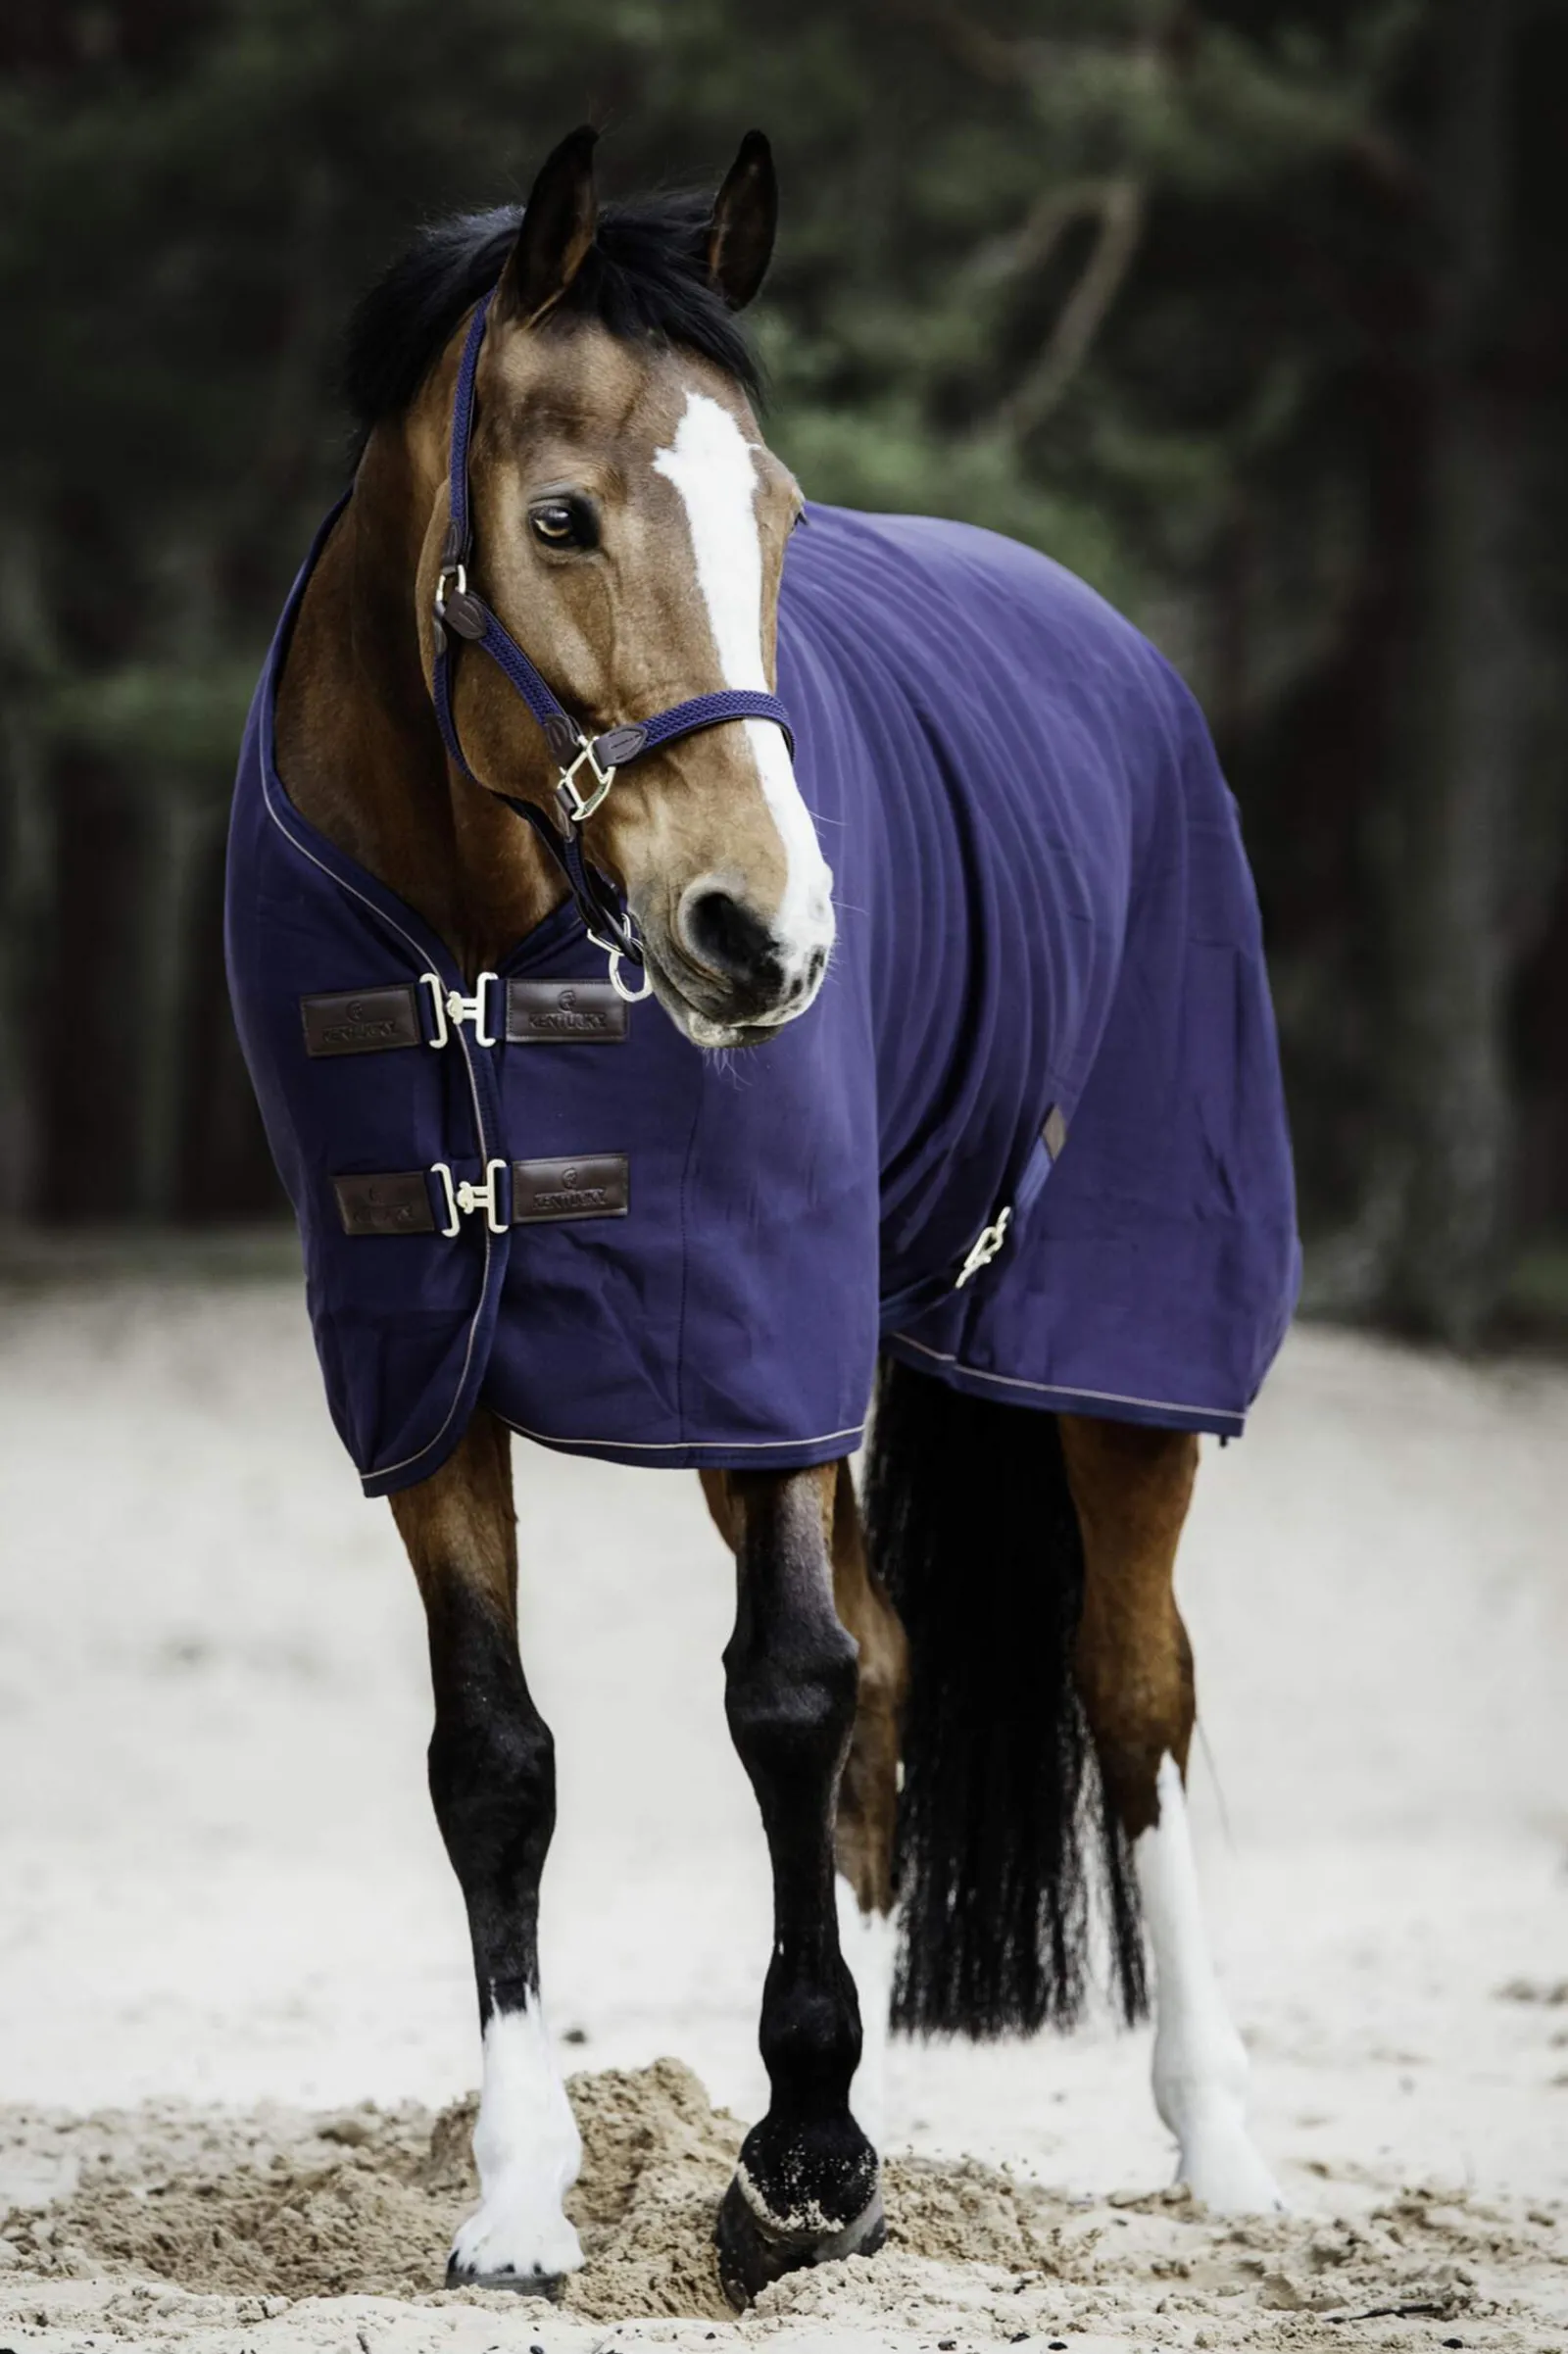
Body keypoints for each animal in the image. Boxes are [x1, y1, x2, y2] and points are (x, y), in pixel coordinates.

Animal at [226, 125, 1299, 2304]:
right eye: (560, 515)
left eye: (783, 517)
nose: (766, 934)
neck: (475, 944)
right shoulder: (420, 1371)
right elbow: (498, 1757)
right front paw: (526, 2195)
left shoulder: (761, 1336)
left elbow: (789, 1699)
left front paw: (803, 2158)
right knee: (898, 1678)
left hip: (1105, 1360)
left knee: (1129, 1693)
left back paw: (1214, 2142)